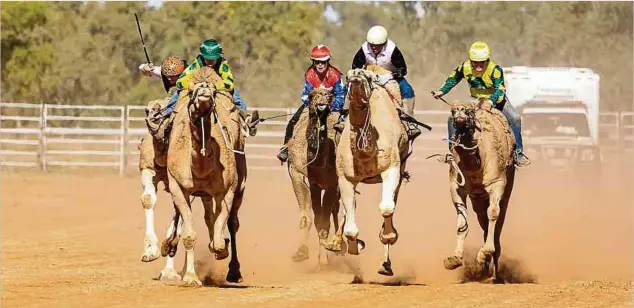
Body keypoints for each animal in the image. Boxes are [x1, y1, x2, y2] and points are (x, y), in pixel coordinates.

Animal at [162, 67, 246, 286]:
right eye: (192, 90)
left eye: (214, 92)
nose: (205, 93)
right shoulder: (178, 188)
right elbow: (189, 234)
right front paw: (191, 277)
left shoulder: (227, 190)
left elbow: (221, 227)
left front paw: (220, 247)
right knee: (205, 216)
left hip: (240, 183)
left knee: (232, 223)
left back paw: (234, 271)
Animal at [286, 87, 344, 268]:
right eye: (311, 95)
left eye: (330, 96)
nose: (322, 101)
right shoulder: (300, 176)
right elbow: (308, 217)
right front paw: (301, 252)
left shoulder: (333, 184)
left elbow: (324, 222)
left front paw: (324, 261)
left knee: (336, 210)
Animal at [336, 66, 410, 278]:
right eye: (347, 76)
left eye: (368, 78)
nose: (356, 76)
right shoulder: (345, 178)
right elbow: (351, 228)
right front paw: (355, 246)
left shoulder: (391, 168)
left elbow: (386, 207)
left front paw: (389, 236)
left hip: (401, 168)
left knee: (392, 203)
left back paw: (386, 264)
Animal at [436, 100, 516, 282]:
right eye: (452, 110)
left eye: (469, 111)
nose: (458, 111)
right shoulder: (456, 187)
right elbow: (462, 223)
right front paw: (454, 258)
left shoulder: (497, 183)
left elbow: (493, 213)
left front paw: (485, 253)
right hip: (478, 197)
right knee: (482, 219)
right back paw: (485, 269)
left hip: (508, 185)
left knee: (499, 218)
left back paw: (494, 270)